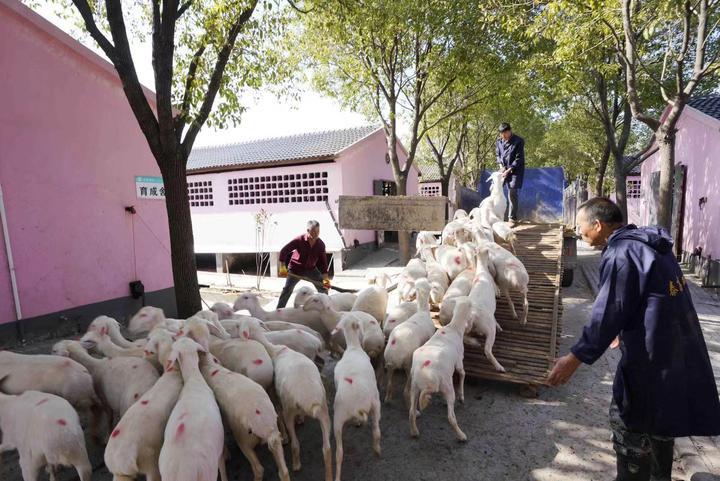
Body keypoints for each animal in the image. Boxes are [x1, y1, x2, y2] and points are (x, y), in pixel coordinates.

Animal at [240, 318, 334, 480]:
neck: (275, 350)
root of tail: (310, 401)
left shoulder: (276, 393)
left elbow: (277, 410)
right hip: (324, 413)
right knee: (326, 449)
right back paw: (329, 476)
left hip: (290, 410)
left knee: (295, 443)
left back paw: (296, 464)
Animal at [334, 312, 382, 480]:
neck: (353, 347)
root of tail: (355, 406)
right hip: (375, 403)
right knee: (376, 431)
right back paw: (377, 451)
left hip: (337, 421)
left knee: (339, 453)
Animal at [410, 294, 472, 440]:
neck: (454, 327)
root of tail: (427, 378)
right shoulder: (459, 361)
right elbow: (462, 373)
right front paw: (462, 397)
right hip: (447, 386)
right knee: (450, 417)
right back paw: (461, 436)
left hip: (414, 386)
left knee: (411, 411)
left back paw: (414, 432)